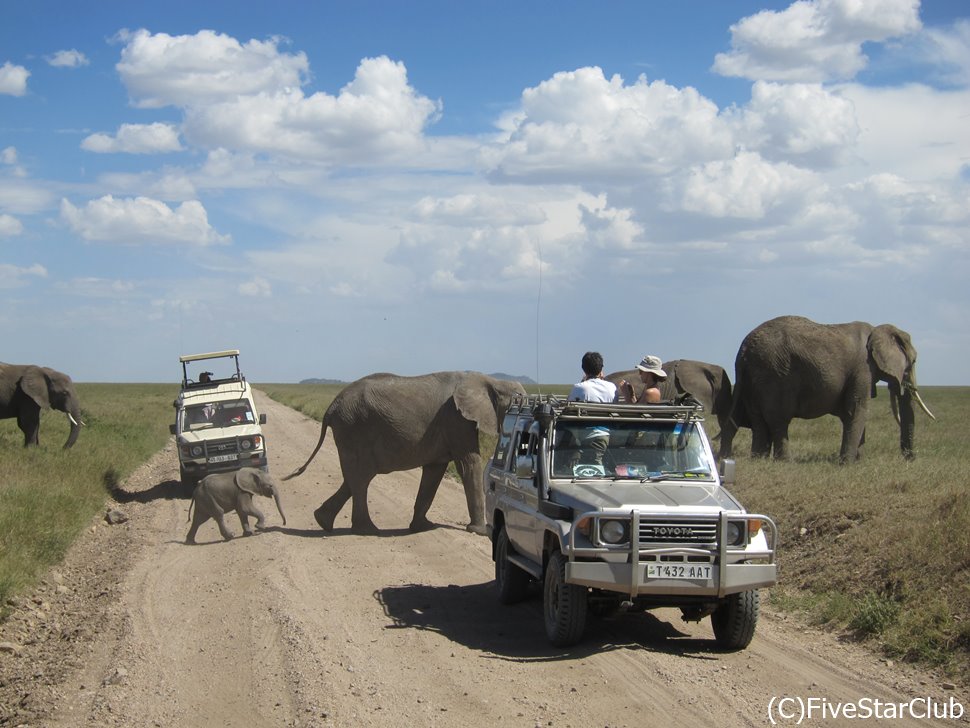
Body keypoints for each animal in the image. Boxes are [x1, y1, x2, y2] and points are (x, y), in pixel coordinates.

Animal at [286, 370, 524, 536]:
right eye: (520, 402)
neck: (487, 380)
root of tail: (331, 407)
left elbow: (434, 471)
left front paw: (423, 527)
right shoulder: (456, 419)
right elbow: (468, 464)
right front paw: (481, 532)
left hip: (350, 431)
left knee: (355, 478)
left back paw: (323, 521)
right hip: (354, 428)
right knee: (361, 478)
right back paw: (367, 530)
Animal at [724, 316, 932, 464]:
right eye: (913, 362)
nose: (910, 459)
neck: (877, 330)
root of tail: (743, 350)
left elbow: (851, 413)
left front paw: (858, 461)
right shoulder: (863, 369)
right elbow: (856, 409)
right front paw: (847, 464)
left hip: (754, 376)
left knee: (759, 421)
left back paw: (759, 461)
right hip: (773, 373)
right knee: (778, 421)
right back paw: (785, 463)